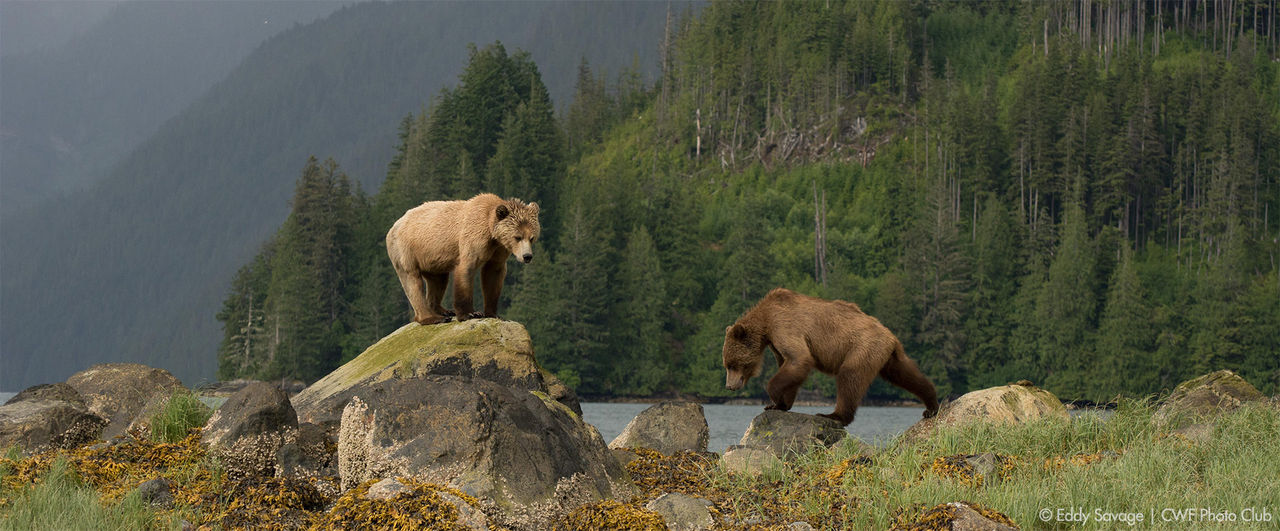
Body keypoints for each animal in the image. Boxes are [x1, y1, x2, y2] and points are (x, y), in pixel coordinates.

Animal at [386, 193, 540, 325]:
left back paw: (444, 311)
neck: (492, 234)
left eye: (532, 237)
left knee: (438, 280)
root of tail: (394, 225)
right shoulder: (474, 238)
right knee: (412, 281)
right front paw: (470, 313)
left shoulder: (499, 250)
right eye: (517, 237)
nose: (527, 256)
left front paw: (493, 313)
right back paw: (431, 318)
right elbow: (466, 269)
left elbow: (493, 275)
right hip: (407, 250)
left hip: (432, 259)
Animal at [722, 287, 939, 426]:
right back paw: (931, 405)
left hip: (862, 347)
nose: (729, 386)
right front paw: (779, 405)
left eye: (733, 364)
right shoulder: (775, 342)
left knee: (849, 378)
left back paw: (834, 415)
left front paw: (773, 396)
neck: (765, 321)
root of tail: (890, 335)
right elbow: (790, 366)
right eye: (727, 364)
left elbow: (799, 359)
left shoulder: (784, 326)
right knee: (906, 375)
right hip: (887, 355)